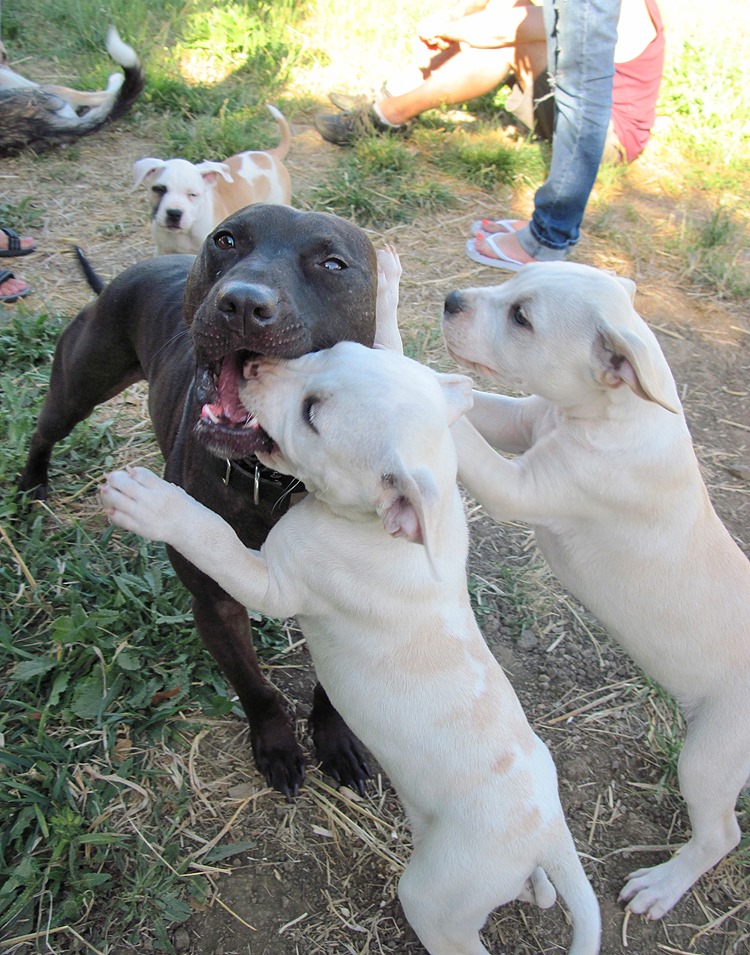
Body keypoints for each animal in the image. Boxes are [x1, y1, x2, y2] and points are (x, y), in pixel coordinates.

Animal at [0, 25, 145, 157]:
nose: (5, 58)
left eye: (5, 56)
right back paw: (116, 80)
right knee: (103, 98)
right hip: (53, 93)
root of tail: (46, 126)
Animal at [18, 204, 378, 800]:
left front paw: (337, 739)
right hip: (77, 388)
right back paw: (30, 485)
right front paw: (277, 746)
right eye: (226, 239)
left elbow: (335, 690)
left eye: (333, 263)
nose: (244, 302)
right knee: (44, 430)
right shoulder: (215, 605)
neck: (273, 480)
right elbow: (254, 687)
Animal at [134, 105, 292, 256]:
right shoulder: (163, 250)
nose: (174, 213)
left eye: (193, 194)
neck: (187, 230)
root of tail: (269, 155)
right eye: (159, 189)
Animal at [440, 262, 750, 928]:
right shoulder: (522, 419)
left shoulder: (521, 487)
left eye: (522, 318)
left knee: (722, 834)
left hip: (711, 755)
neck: (616, 410)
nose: (450, 299)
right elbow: (479, 409)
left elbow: (469, 445)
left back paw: (661, 885)